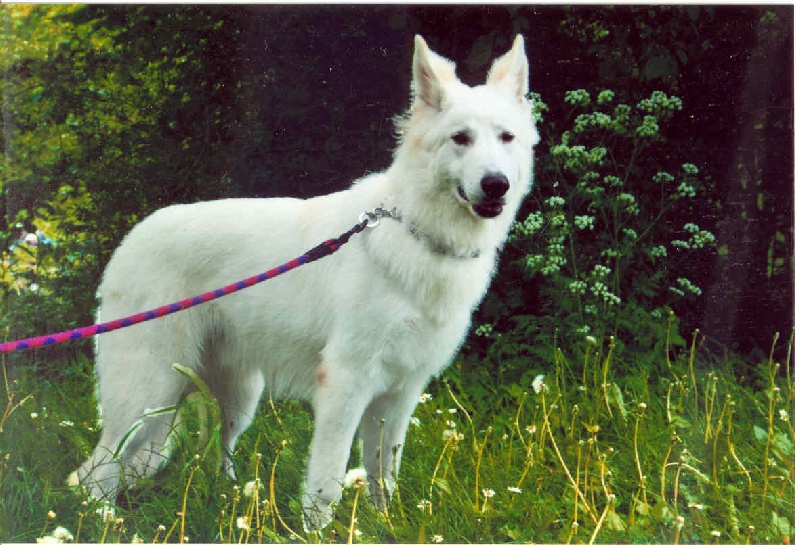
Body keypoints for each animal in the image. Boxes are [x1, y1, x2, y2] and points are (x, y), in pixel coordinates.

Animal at [70, 34, 539, 531]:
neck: (416, 231)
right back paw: (103, 522)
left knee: (215, 453)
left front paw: (385, 526)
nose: (496, 185)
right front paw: (317, 533)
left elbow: (383, 475)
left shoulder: (399, 395)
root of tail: (132, 237)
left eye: (506, 138)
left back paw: (228, 499)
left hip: (236, 398)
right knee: (93, 473)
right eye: (461, 138)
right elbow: (327, 481)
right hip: (147, 394)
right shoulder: (346, 385)